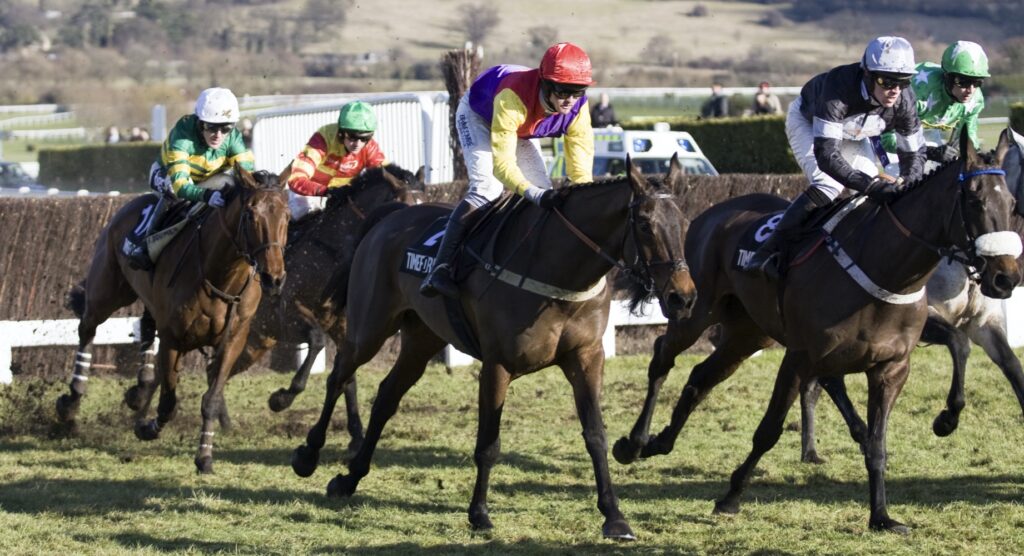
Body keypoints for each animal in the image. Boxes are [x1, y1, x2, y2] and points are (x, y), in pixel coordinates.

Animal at [56, 165, 290, 475]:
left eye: (287, 216)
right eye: (251, 215)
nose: (274, 277)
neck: (221, 277)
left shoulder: (233, 340)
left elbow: (210, 400)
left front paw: (205, 457)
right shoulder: (174, 339)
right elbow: (168, 402)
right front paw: (146, 428)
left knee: (144, 324)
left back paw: (140, 389)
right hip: (107, 291)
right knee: (87, 327)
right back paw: (71, 401)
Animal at [292, 155, 696, 540]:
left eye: (685, 221)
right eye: (644, 224)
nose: (683, 297)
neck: (558, 273)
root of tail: (390, 216)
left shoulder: (586, 358)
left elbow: (595, 434)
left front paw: (614, 515)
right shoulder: (497, 364)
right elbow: (489, 444)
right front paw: (479, 514)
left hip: (422, 338)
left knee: (387, 396)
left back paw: (350, 478)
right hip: (370, 328)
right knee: (339, 376)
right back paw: (309, 454)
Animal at [610, 130, 1019, 536]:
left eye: (1011, 202)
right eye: (974, 199)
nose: (1006, 277)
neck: (885, 268)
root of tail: (708, 213)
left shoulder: (891, 368)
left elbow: (879, 443)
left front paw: (881, 515)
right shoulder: (800, 357)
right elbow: (769, 430)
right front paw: (731, 496)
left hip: (749, 333)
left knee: (701, 375)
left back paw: (660, 442)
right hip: (691, 308)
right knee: (663, 355)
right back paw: (634, 443)